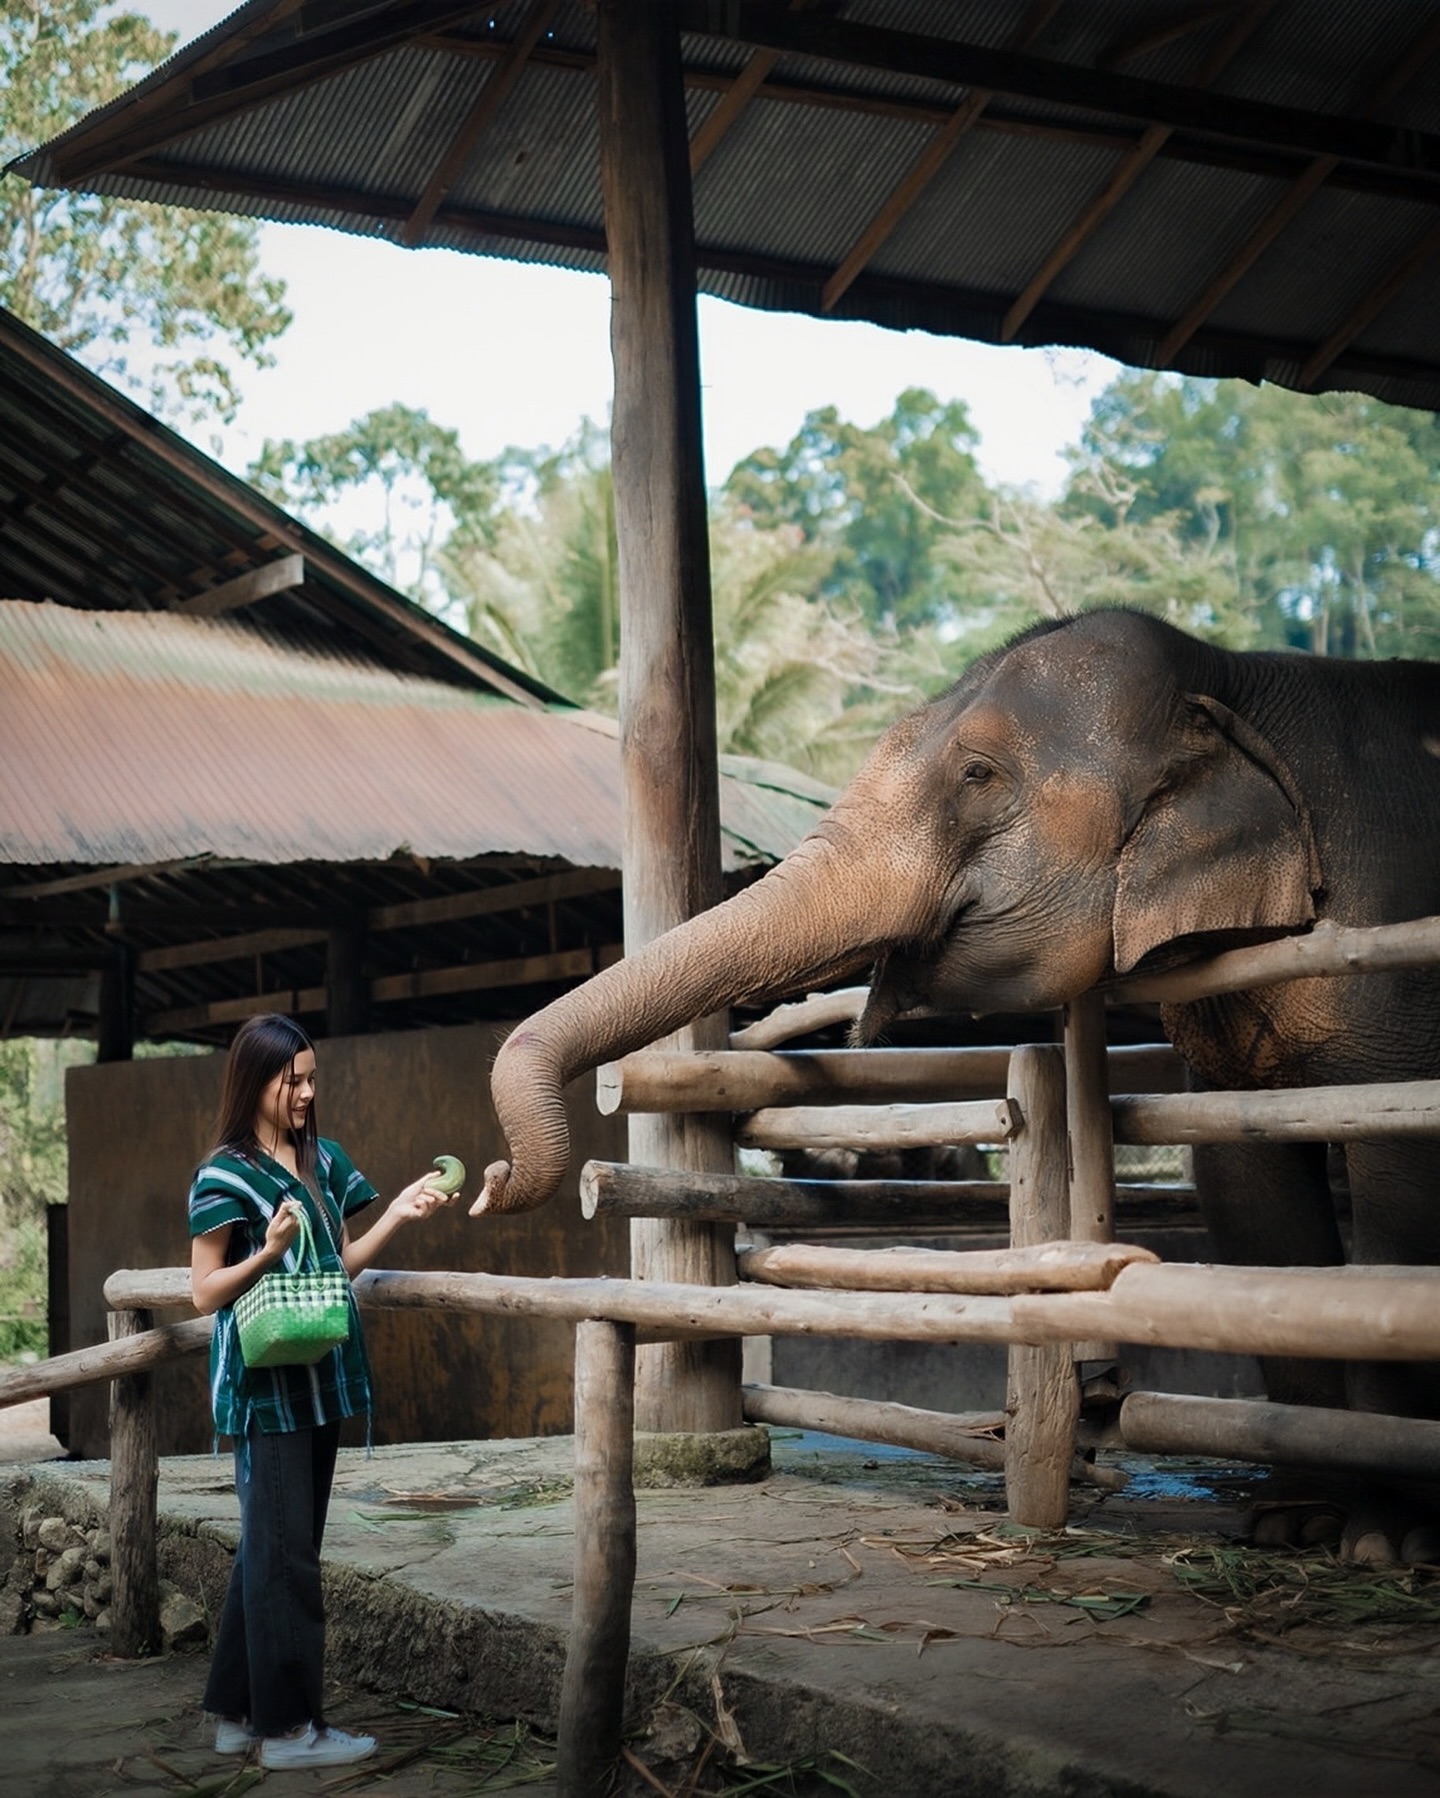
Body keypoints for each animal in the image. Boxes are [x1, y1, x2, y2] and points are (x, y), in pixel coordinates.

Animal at [474, 607, 1438, 1560]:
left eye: (979, 775)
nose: (485, 1181)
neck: (1233, 675)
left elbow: (1398, 1194)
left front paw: (1385, 1541)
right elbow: (1250, 1191)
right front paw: (1294, 1522)